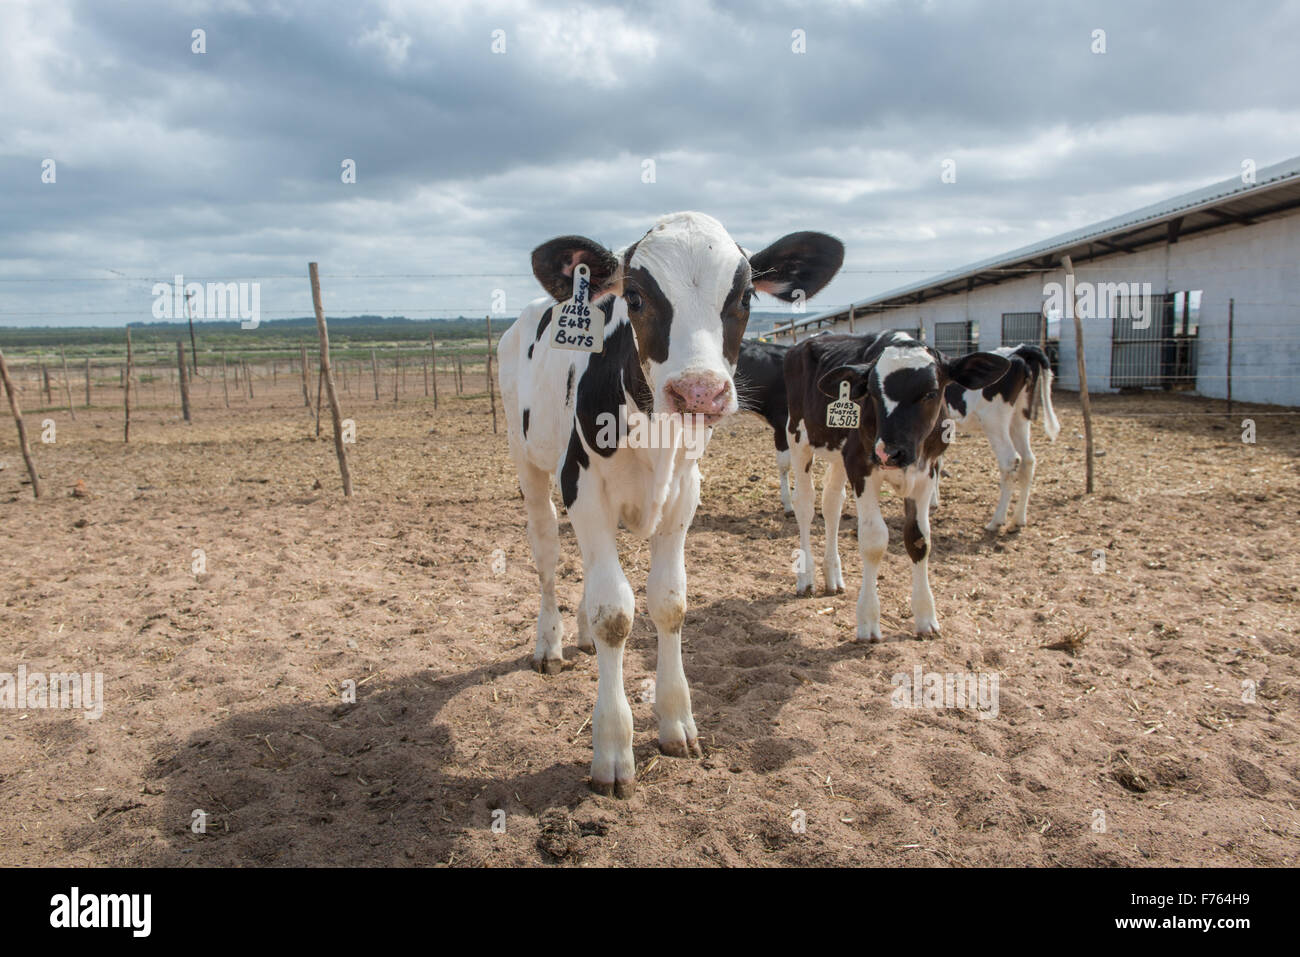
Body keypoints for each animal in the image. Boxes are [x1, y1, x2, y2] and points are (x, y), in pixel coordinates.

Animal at [784, 330, 1009, 640]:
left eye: (930, 392)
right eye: (872, 393)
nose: (889, 452)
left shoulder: (927, 471)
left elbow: (919, 539)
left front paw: (925, 618)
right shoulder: (860, 465)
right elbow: (873, 541)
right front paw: (868, 620)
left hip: (838, 454)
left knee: (831, 503)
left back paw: (833, 575)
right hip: (797, 435)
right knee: (805, 504)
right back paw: (806, 577)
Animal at [937, 343, 1060, 531]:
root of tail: (1020, 350)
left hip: (994, 420)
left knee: (1009, 461)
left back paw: (997, 520)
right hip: (1019, 417)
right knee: (1028, 460)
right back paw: (1018, 519)